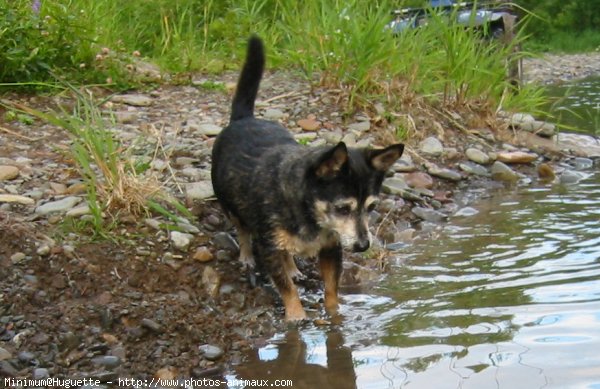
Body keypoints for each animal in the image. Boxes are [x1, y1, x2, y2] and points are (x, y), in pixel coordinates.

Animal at [211, 36, 404, 320]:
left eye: (371, 207)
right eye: (342, 208)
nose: (363, 246)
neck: (309, 212)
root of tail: (244, 118)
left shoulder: (332, 248)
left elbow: (331, 287)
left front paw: (335, 316)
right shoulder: (269, 248)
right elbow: (286, 287)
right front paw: (296, 317)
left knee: (287, 254)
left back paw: (293, 266)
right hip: (231, 206)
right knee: (243, 231)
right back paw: (246, 256)